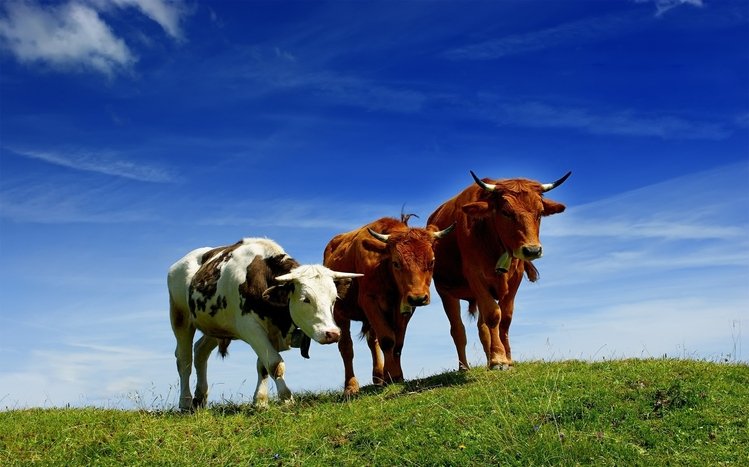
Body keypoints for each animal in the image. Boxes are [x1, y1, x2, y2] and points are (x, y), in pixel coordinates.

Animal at [168, 237, 362, 410]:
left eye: (334, 299)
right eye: (305, 299)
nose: (333, 333)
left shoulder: (272, 332)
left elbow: (263, 366)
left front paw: (260, 401)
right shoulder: (250, 328)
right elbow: (275, 364)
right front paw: (286, 398)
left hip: (216, 326)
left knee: (200, 352)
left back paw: (200, 398)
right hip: (180, 317)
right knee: (184, 359)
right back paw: (185, 402)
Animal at [323, 215, 454, 396]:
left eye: (432, 261)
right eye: (396, 263)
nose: (418, 298)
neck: (383, 267)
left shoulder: (404, 308)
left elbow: (397, 343)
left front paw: (395, 375)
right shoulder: (369, 300)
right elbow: (387, 340)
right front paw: (391, 375)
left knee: (372, 342)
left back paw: (379, 376)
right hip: (340, 313)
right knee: (346, 348)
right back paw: (351, 386)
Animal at [427, 171, 571, 371]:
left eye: (540, 213)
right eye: (506, 212)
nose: (532, 250)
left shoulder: (515, 279)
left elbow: (505, 319)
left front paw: (506, 358)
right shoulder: (475, 276)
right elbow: (494, 315)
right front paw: (499, 360)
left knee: (482, 328)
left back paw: (489, 359)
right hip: (446, 292)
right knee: (458, 329)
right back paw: (464, 366)